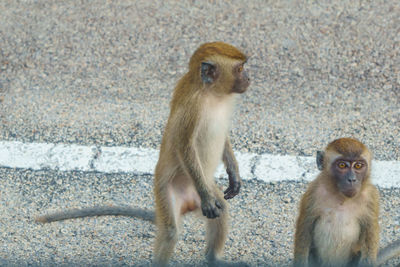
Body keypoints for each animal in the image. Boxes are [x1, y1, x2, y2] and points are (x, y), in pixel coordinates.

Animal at [37, 40, 250, 266]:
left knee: (222, 211)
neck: (212, 94)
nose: (248, 78)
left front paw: (234, 175)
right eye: (239, 69)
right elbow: (184, 147)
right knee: (170, 232)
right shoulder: (192, 109)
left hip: (206, 190)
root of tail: (190, 203)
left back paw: (213, 258)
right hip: (166, 192)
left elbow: (223, 138)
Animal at [294, 138, 400, 267]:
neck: (341, 198)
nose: (352, 179)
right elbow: (305, 228)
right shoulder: (313, 192)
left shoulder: (371, 197)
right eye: (342, 165)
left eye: (358, 165)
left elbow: (369, 234)